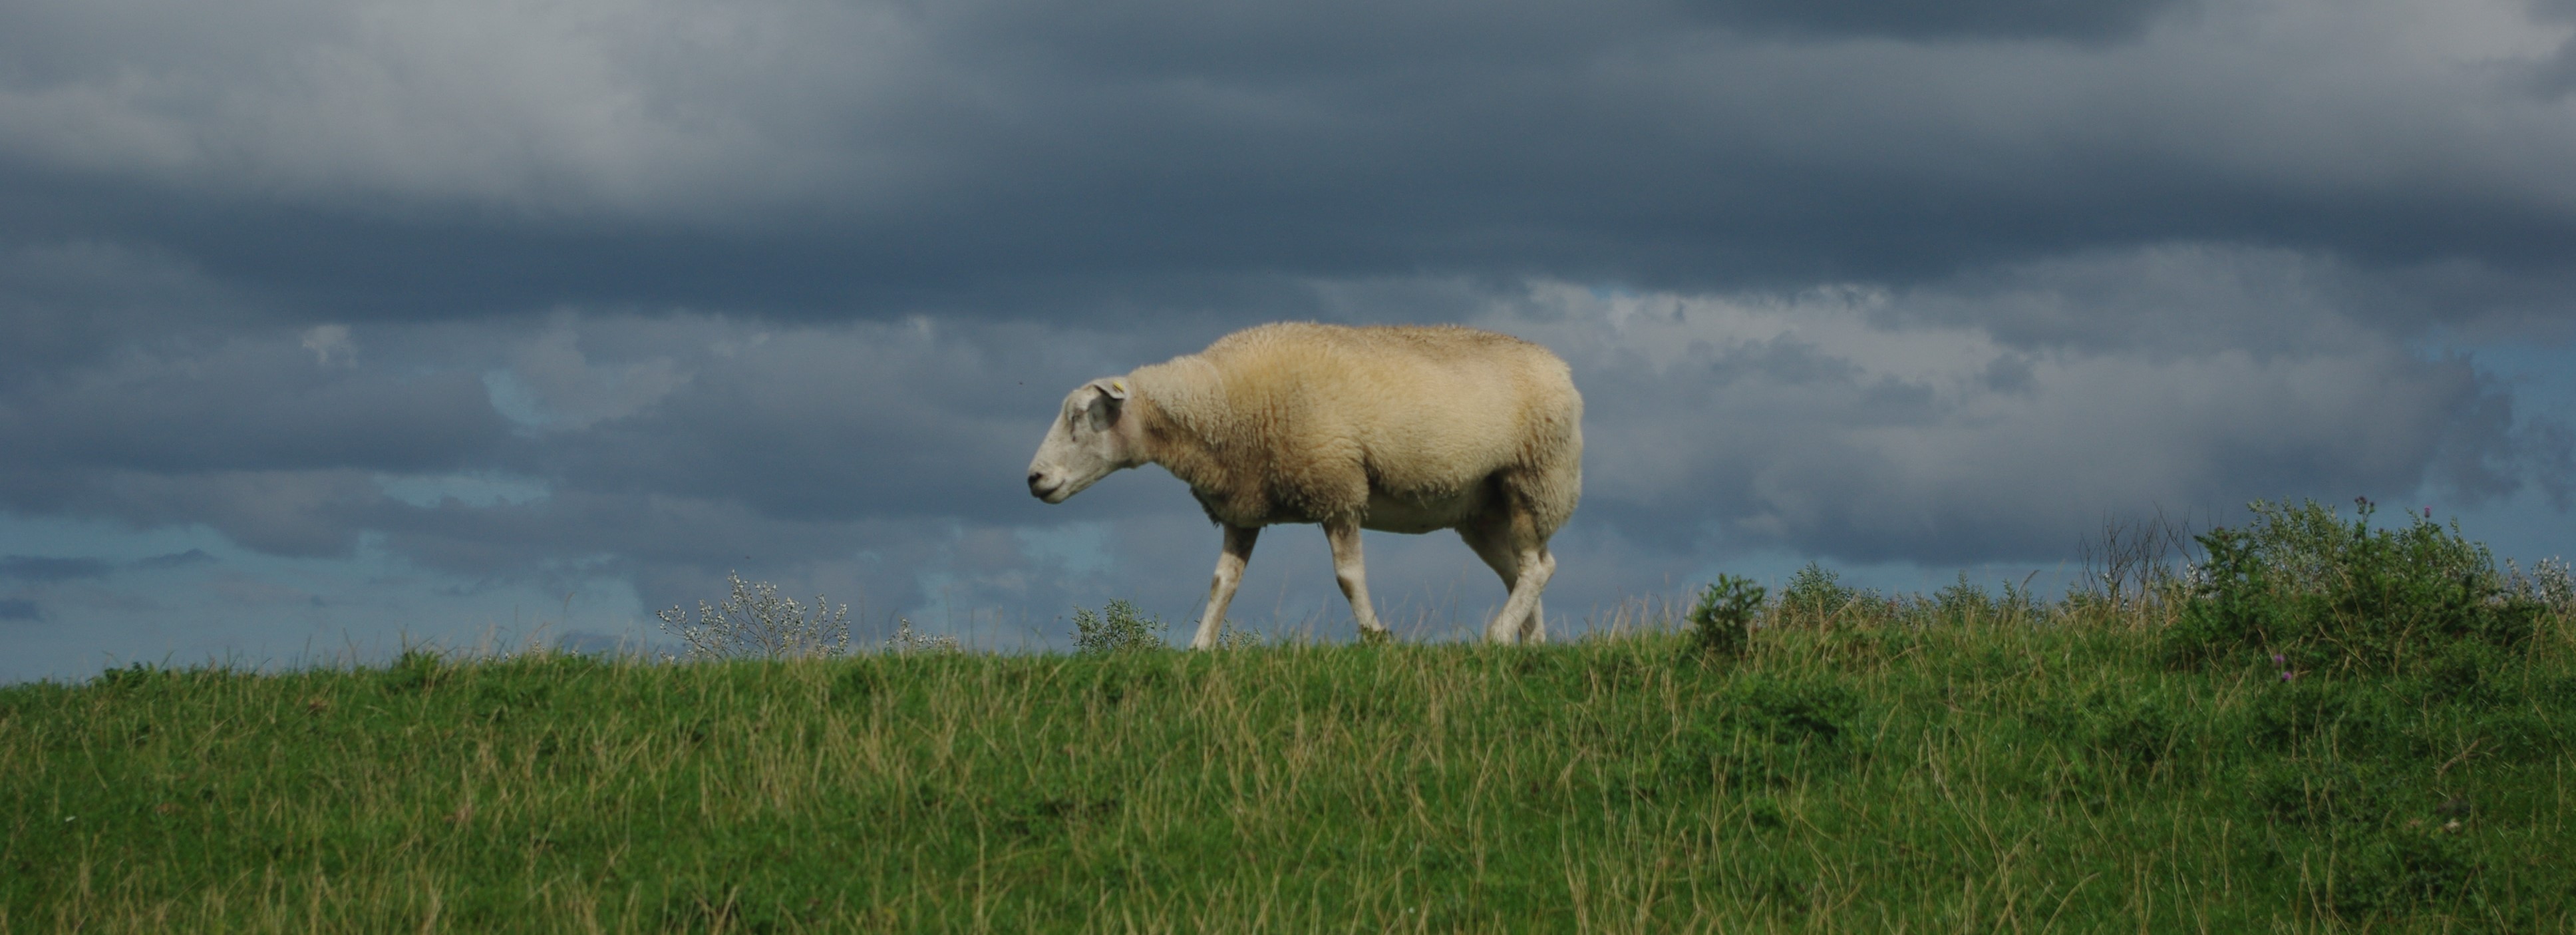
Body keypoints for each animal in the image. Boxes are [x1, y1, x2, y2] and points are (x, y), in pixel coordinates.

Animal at [1030, 318, 1587, 649]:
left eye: (1084, 415)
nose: (1035, 478)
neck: (1222, 402)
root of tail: (1560, 367)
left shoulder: (1337, 485)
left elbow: (1348, 576)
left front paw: (1376, 635)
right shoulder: (1243, 505)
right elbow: (1222, 582)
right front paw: (1200, 647)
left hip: (1533, 478)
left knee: (1538, 567)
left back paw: (1498, 634)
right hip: (1481, 509)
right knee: (1523, 569)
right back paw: (1530, 642)